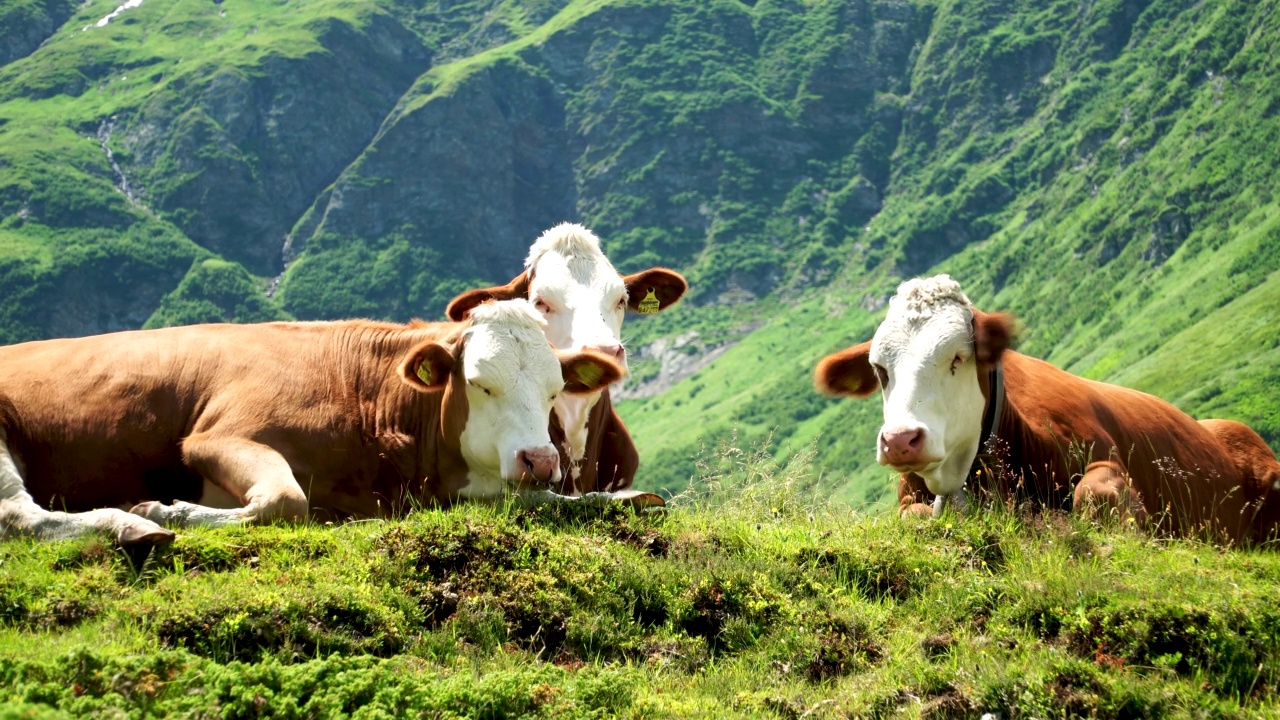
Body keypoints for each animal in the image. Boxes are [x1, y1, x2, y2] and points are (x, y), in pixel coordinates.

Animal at [0, 298, 645, 543]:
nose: (540, 458)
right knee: (20, 514)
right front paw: (168, 509)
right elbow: (286, 500)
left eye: (554, 389)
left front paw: (625, 498)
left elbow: (547, 500)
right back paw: (131, 524)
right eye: (482, 382)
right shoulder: (220, 435)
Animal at [819, 271, 1280, 540]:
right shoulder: (909, 497)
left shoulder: (1104, 458)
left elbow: (1092, 494)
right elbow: (912, 515)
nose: (901, 440)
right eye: (880, 369)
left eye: (958, 357)